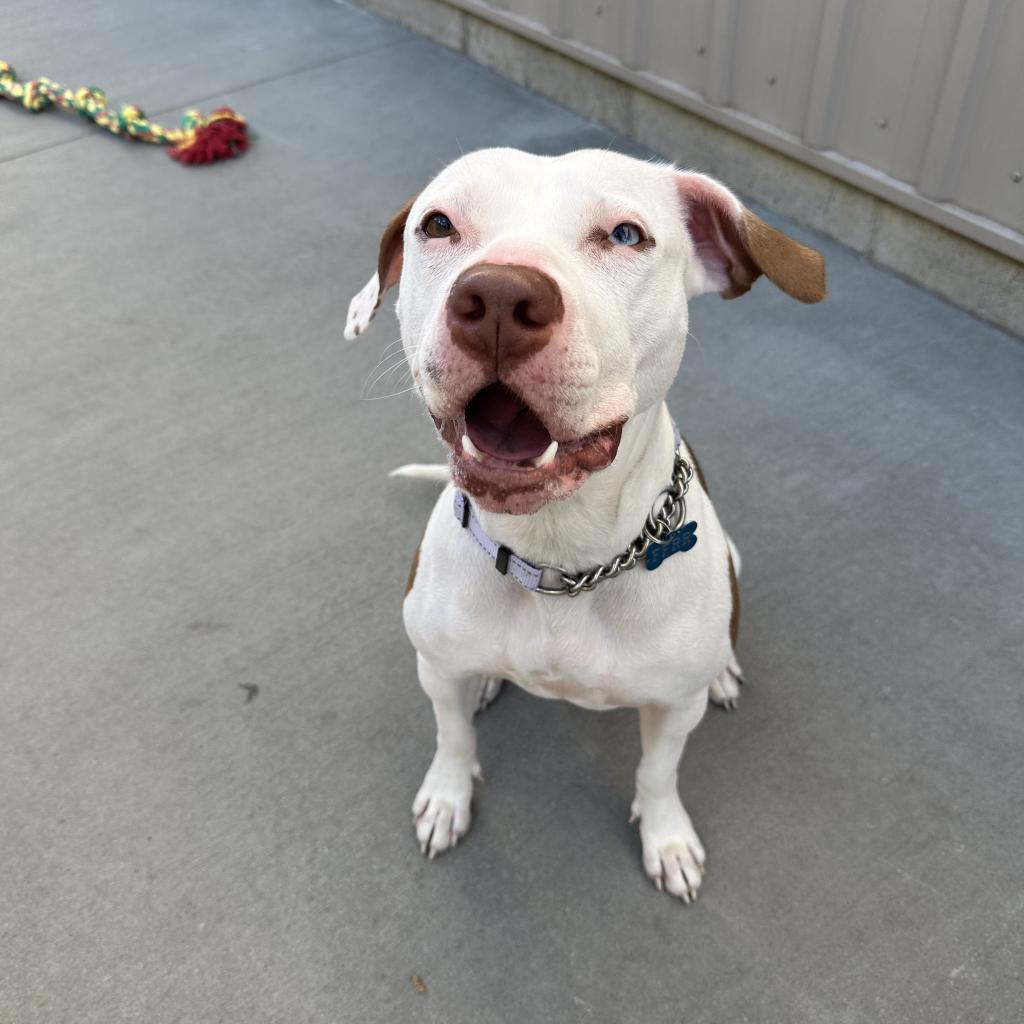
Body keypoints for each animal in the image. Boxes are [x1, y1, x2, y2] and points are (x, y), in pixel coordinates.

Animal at [344, 148, 823, 901]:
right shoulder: (436, 669)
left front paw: (667, 838)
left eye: (626, 235)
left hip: (733, 562)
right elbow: (452, 737)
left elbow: (658, 773)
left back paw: (722, 671)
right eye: (438, 224)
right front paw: (448, 797)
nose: (499, 298)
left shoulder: (671, 711)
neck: (559, 559)